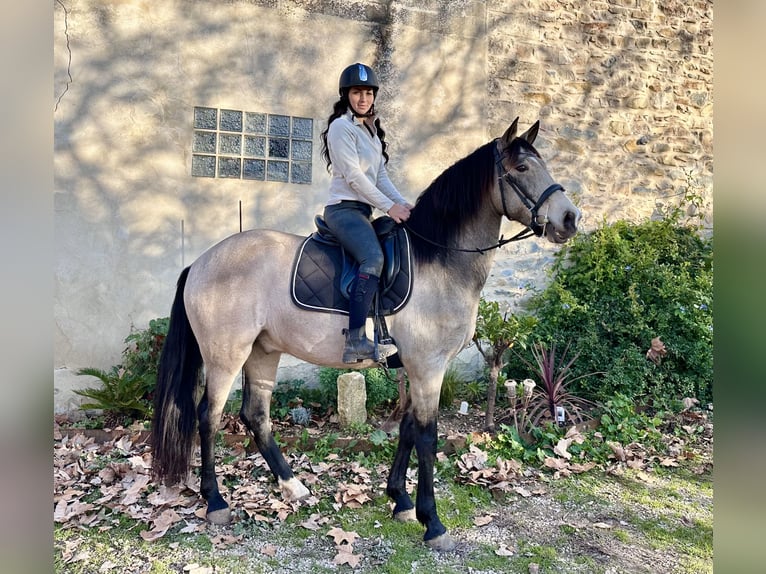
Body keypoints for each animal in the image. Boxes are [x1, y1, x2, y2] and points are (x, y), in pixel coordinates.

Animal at [150, 118, 581, 551]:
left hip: (263, 351)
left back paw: (292, 487)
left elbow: (407, 430)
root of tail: (201, 262)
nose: (570, 219)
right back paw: (216, 502)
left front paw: (401, 501)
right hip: (226, 355)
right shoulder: (428, 366)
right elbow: (427, 437)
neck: (439, 260)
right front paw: (433, 523)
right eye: (522, 168)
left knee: (256, 415)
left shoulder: (417, 367)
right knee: (209, 417)